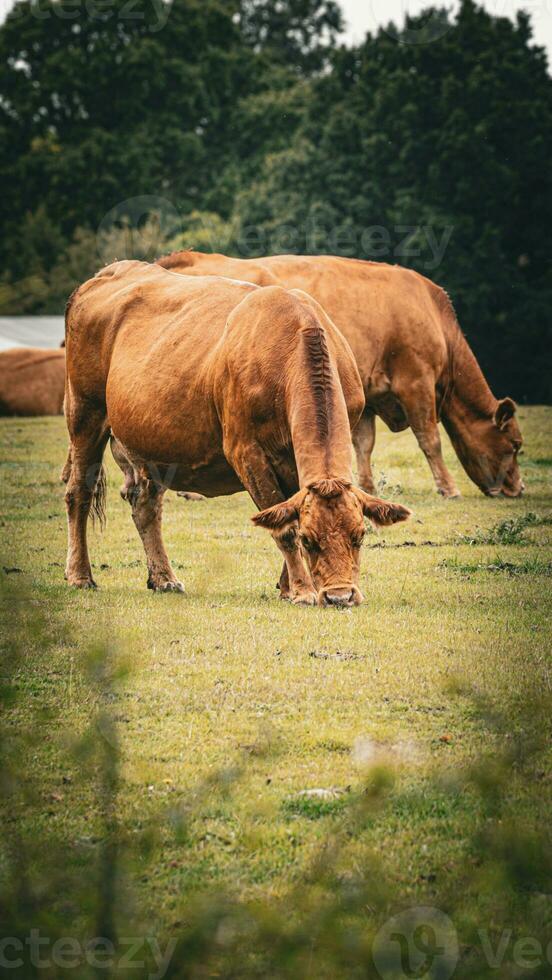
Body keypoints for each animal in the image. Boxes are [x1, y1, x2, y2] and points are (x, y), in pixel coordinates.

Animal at [64, 260, 410, 604]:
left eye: (359, 536)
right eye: (309, 540)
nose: (340, 596)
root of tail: (107, 273)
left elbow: (286, 510)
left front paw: (287, 587)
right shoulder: (247, 452)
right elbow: (283, 526)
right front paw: (302, 589)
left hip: (153, 445)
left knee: (145, 505)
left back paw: (163, 578)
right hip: (85, 413)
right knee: (79, 492)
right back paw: (80, 575)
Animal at [157, 249, 524, 502]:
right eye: (516, 444)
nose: (519, 488)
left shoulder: (369, 394)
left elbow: (363, 444)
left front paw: (367, 487)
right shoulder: (415, 380)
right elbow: (429, 439)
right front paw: (448, 488)